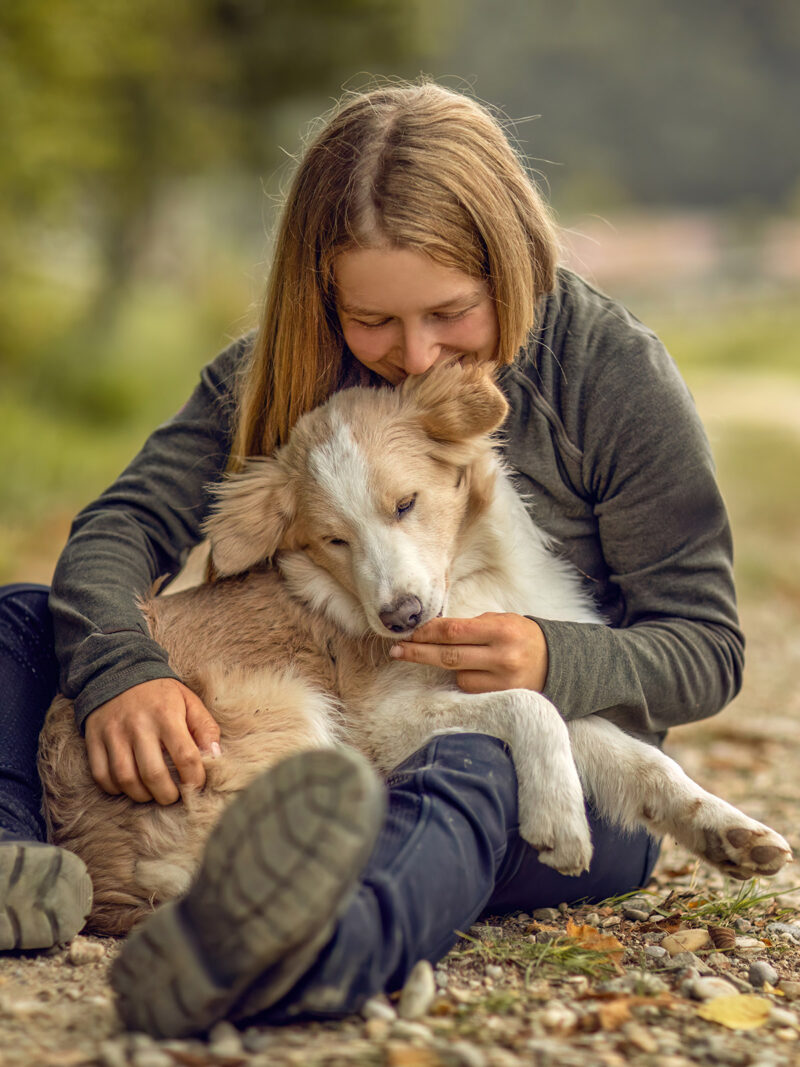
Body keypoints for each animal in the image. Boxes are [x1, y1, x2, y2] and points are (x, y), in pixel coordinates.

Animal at [36, 358, 789, 934]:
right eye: (333, 539)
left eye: (405, 504)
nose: (402, 617)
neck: (476, 577)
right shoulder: (382, 719)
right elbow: (535, 709)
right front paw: (560, 822)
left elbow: (635, 757)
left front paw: (728, 832)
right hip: (292, 719)